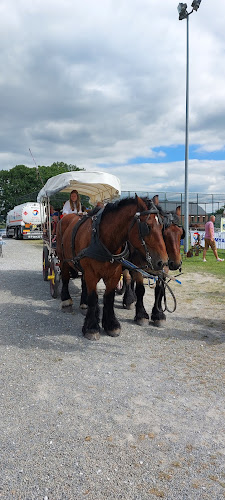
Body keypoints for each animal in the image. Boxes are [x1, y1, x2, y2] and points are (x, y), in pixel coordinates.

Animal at [57, 195, 168, 340]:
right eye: (147, 227)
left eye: (162, 226)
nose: (163, 262)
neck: (103, 240)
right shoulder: (91, 273)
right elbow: (93, 298)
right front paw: (91, 327)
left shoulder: (114, 274)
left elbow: (109, 297)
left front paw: (111, 324)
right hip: (63, 259)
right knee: (65, 278)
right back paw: (66, 300)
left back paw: (84, 304)